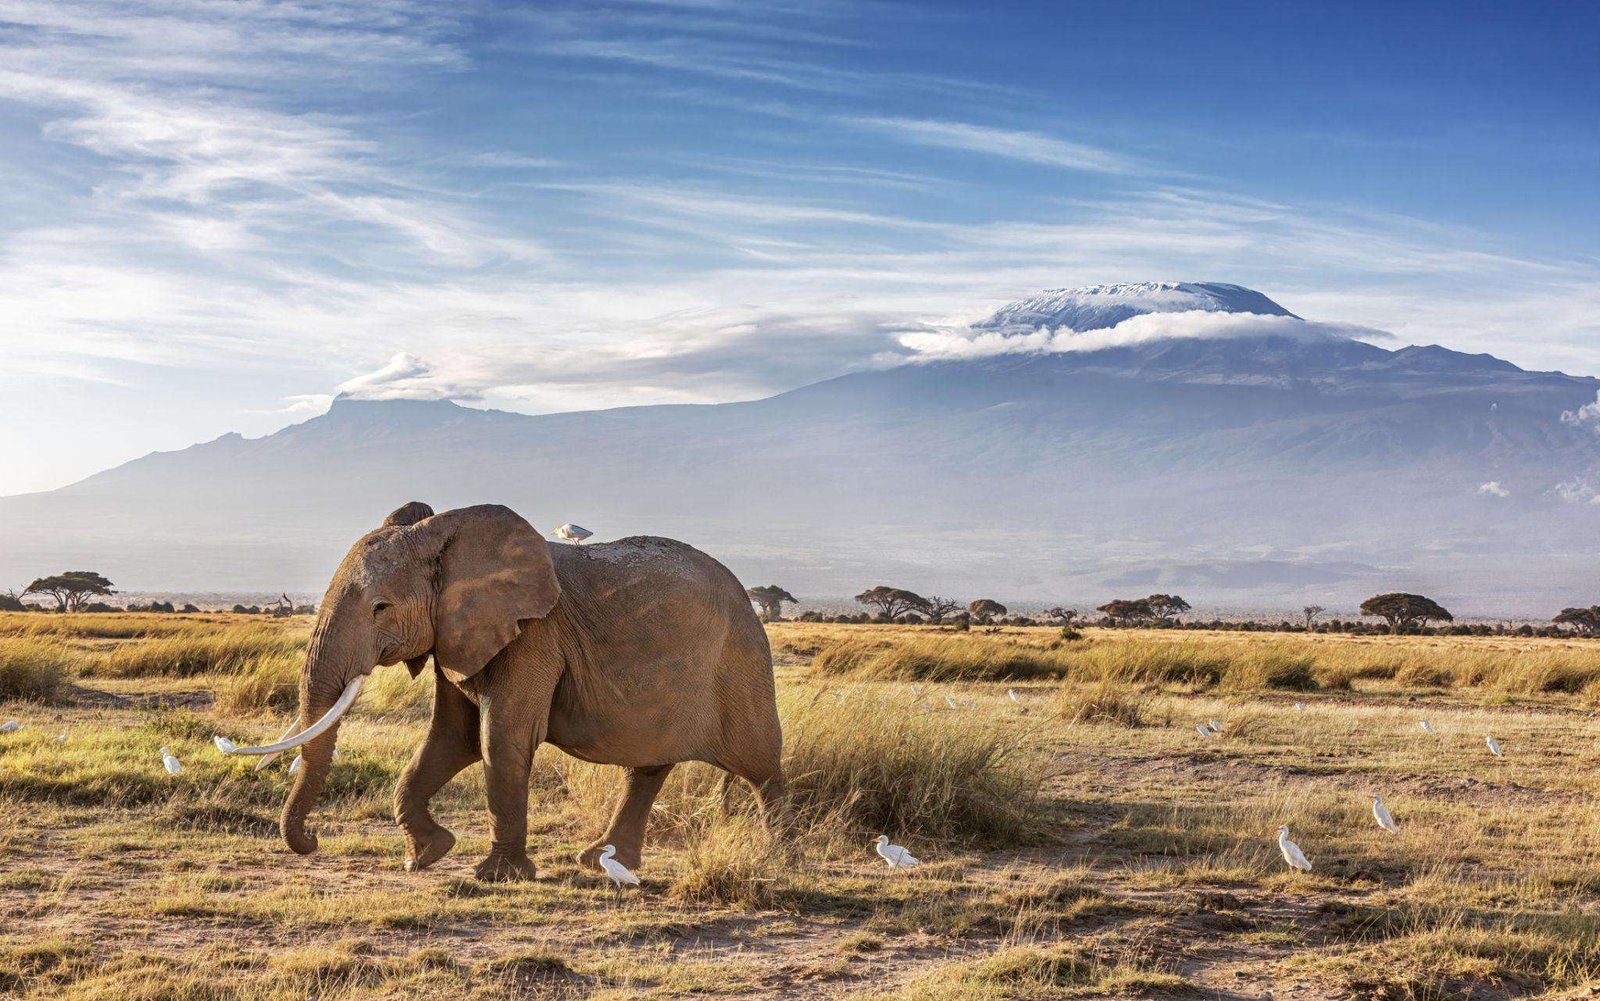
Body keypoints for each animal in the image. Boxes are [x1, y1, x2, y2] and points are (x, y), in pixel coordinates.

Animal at [228, 502, 790, 876]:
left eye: (380, 608)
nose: (313, 839)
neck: (444, 535)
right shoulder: (457, 634)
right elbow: (450, 740)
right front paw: (426, 856)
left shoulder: (532, 635)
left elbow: (499, 738)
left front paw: (495, 877)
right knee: (647, 766)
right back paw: (599, 863)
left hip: (740, 661)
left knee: (760, 765)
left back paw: (779, 856)